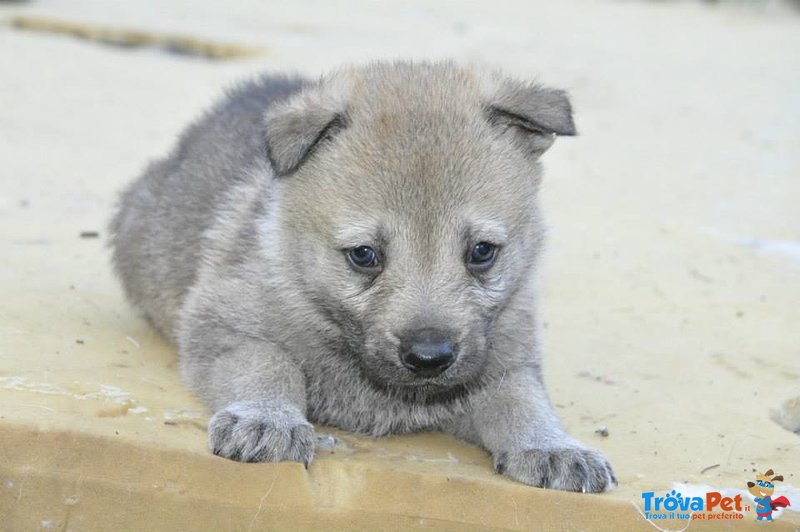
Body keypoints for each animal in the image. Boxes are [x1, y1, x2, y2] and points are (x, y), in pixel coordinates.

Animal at [109, 61, 616, 490]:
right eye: (364, 255)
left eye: (482, 252)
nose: (430, 357)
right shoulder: (223, 325)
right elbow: (268, 366)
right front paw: (267, 420)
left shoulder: (507, 361)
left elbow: (519, 399)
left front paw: (552, 446)